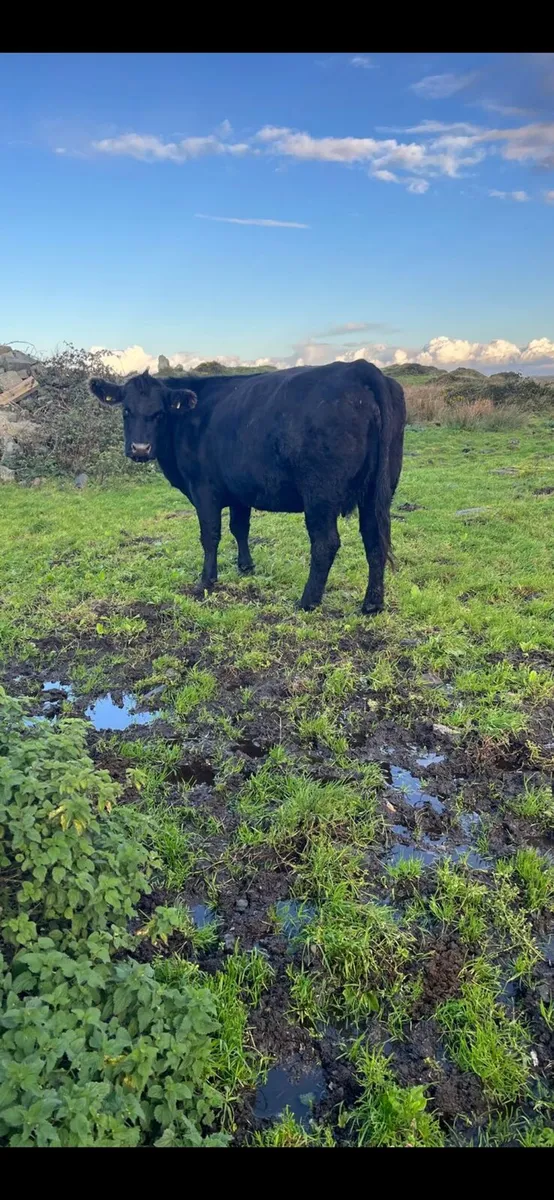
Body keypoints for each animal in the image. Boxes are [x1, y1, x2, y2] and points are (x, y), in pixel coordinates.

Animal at [89, 360, 406, 614]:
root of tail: (359, 368)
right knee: (374, 539)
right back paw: (372, 604)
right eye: (126, 411)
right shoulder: (239, 490)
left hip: (321, 493)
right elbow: (240, 528)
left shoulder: (204, 489)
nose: (140, 449)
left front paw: (206, 581)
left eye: (159, 413)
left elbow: (210, 535)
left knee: (325, 543)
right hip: (378, 490)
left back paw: (307, 601)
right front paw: (246, 567)